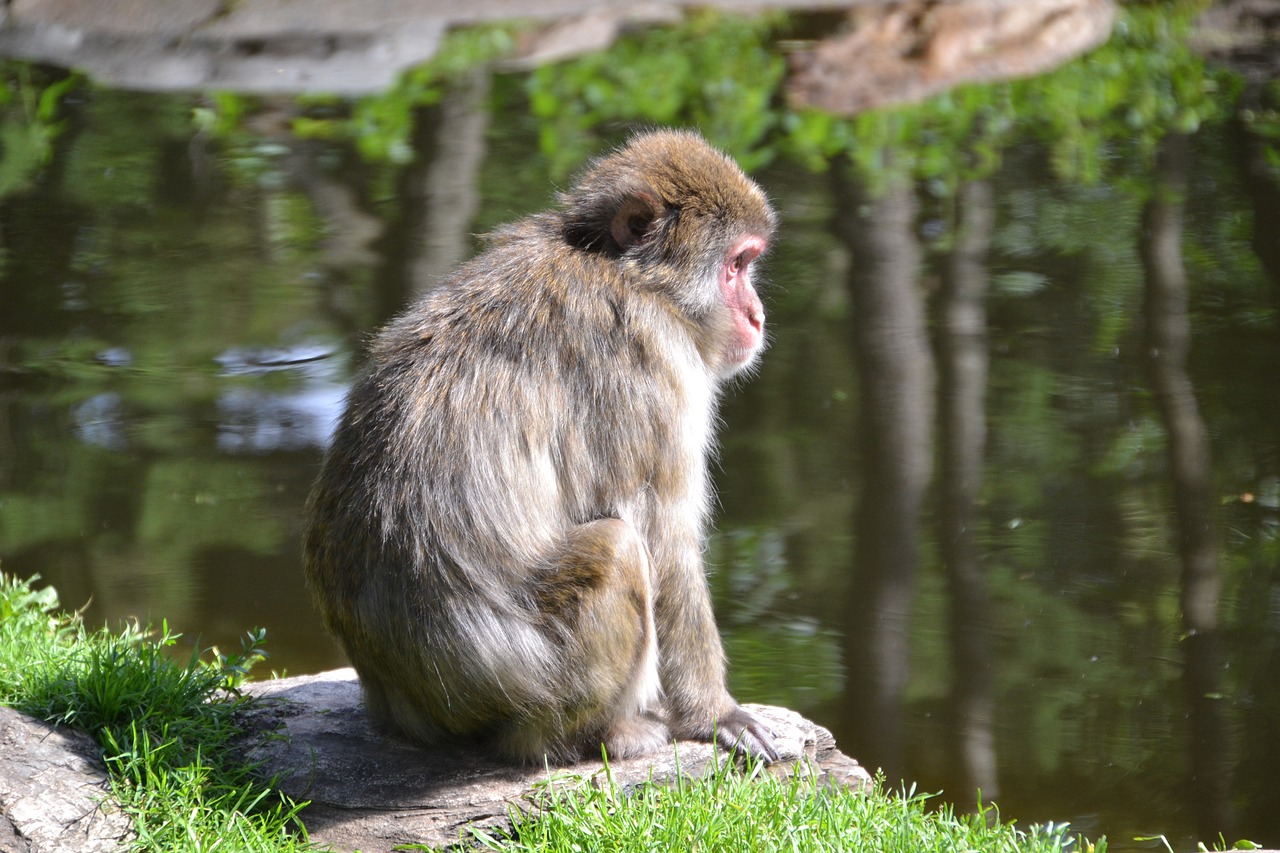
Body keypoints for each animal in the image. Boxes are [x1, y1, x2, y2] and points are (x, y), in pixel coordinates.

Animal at [302, 128, 778, 763]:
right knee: (618, 548)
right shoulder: (652, 367)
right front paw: (716, 714)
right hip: (532, 680)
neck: (626, 274)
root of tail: (404, 700)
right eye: (737, 265)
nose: (757, 316)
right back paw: (596, 733)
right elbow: (662, 535)